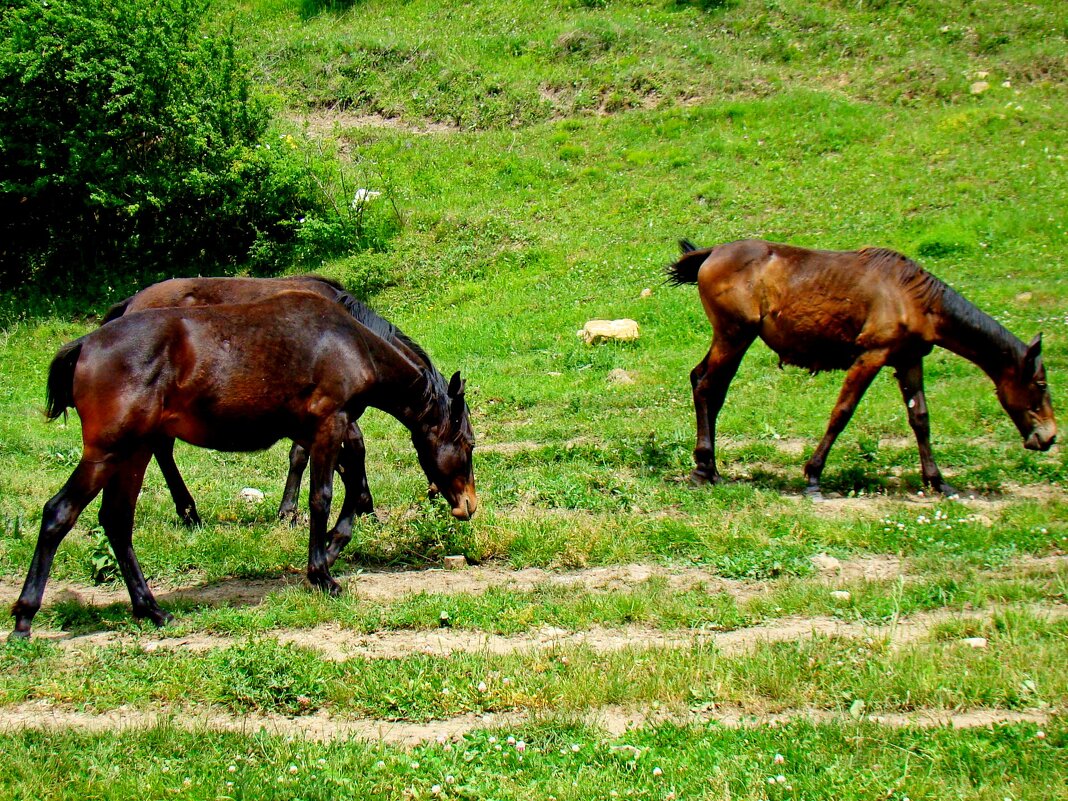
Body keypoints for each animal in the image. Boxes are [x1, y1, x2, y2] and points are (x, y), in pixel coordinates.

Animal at [11, 290, 476, 640]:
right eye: (468, 444)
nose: (468, 505)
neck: (351, 342)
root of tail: (85, 344)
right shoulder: (330, 424)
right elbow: (323, 497)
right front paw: (323, 574)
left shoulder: (325, 430)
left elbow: (353, 489)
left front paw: (330, 548)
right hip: (108, 451)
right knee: (60, 513)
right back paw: (24, 617)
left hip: (133, 453)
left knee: (117, 521)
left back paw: (151, 609)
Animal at [670, 238, 1055, 499]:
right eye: (1040, 385)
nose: (1049, 437)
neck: (912, 295)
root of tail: (712, 253)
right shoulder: (872, 355)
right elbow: (842, 412)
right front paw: (813, 476)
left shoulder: (908, 359)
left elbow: (921, 419)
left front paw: (937, 480)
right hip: (734, 335)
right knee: (707, 387)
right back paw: (704, 468)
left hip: (733, 338)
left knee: (704, 383)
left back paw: (711, 468)